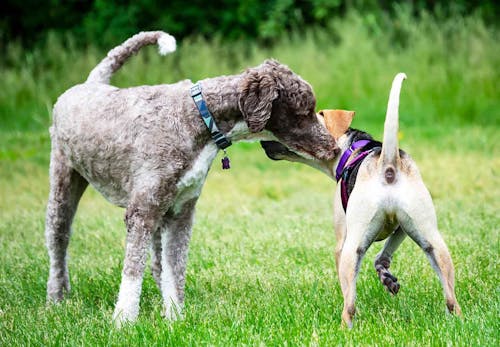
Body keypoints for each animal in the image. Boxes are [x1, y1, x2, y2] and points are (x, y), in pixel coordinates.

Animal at [45, 30, 338, 326]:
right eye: (304, 111)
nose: (333, 148)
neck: (199, 117)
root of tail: (91, 82)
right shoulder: (142, 211)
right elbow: (132, 272)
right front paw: (124, 321)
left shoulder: (181, 211)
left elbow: (174, 270)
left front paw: (175, 318)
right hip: (63, 181)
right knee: (59, 242)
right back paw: (57, 298)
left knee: (157, 263)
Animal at [320, 74, 460, 328]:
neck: (354, 148)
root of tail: (388, 163)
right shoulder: (403, 227)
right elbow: (382, 256)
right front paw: (387, 279)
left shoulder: (341, 243)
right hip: (432, 240)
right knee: (452, 298)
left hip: (352, 248)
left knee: (350, 305)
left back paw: (345, 328)